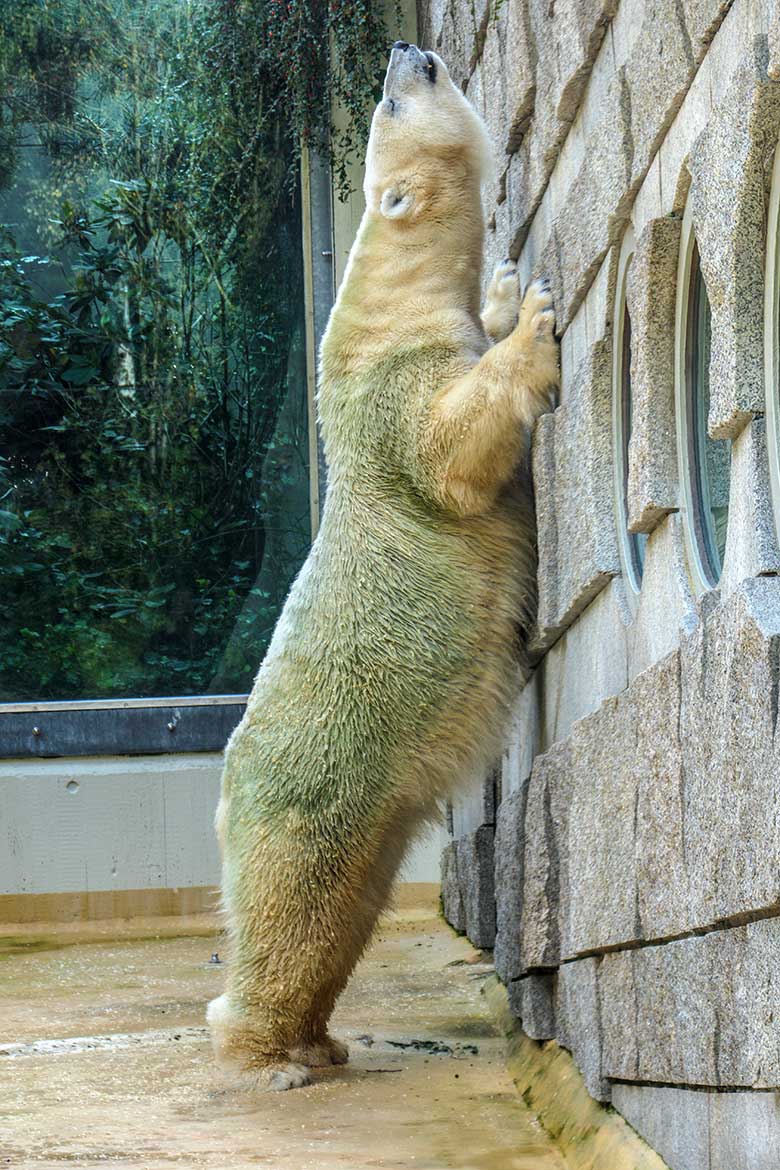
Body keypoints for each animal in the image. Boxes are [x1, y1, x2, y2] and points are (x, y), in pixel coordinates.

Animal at [206, 41, 558, 1090]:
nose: (407, 47)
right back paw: (268, 1053)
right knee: (295, 910)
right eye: (392, 101)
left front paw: (502, 286)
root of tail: (226, 788)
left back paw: (318, 1038)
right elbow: (451, 451)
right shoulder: (395, 393)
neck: (377, 313)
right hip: (314, 789)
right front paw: (535, 318)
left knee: (347, 913)